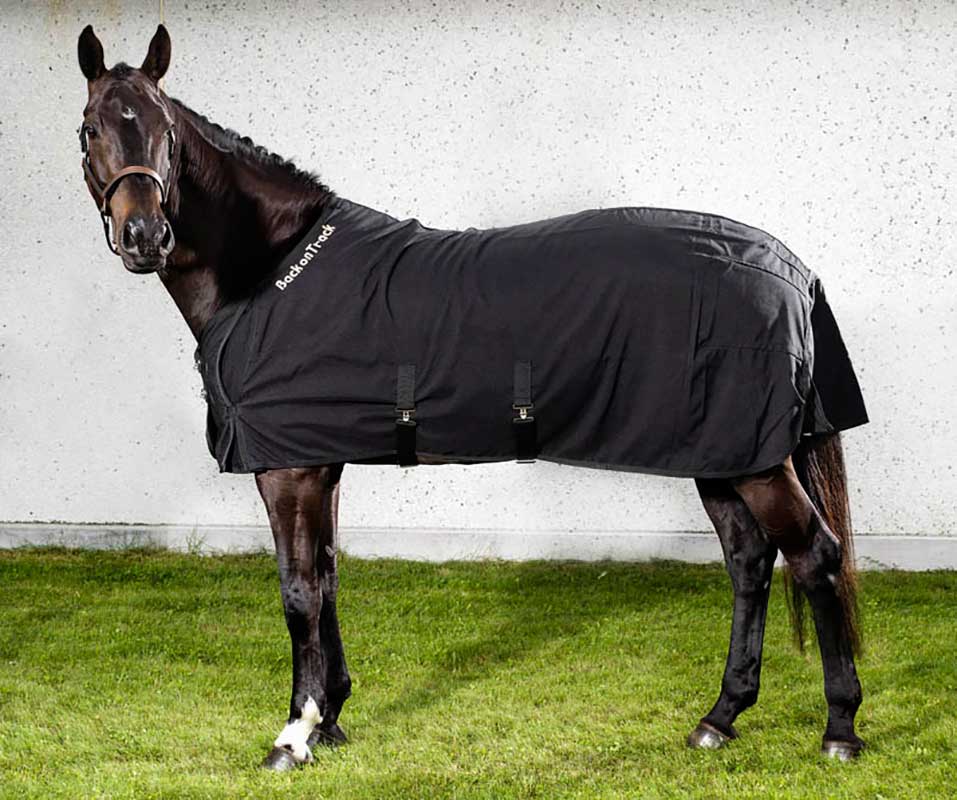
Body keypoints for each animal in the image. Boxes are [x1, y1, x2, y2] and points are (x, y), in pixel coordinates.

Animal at [75, 24, 867, 769]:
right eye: (91, 128)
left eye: (165, 132)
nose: (144, 236)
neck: (271, 268)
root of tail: (791, 268)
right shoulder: (320, 464)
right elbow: (328, 578)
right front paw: (331, 718)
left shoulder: (288, 469)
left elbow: (298, 592)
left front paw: (294, 734)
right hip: (721, 454)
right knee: (749, 561)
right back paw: (719, 718)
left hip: (753, 458)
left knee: (813, 557)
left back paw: (839, 730)